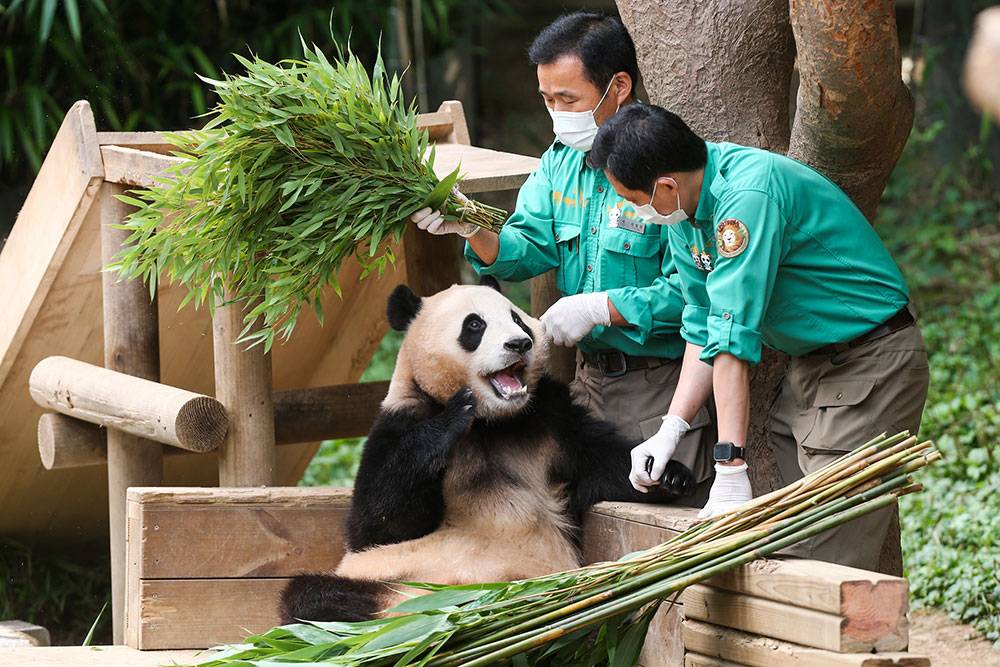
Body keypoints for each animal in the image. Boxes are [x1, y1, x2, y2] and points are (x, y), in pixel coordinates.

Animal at [278, 280, 692, 624]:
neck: (493, 422)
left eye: (517, 319)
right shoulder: (397, 422)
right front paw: (452, 416)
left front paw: (666, 473)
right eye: (474, 326)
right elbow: (376, 525)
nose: (519, 343)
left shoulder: (553, 421)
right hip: (387, 579)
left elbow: (603, 461)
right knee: (311, 598)